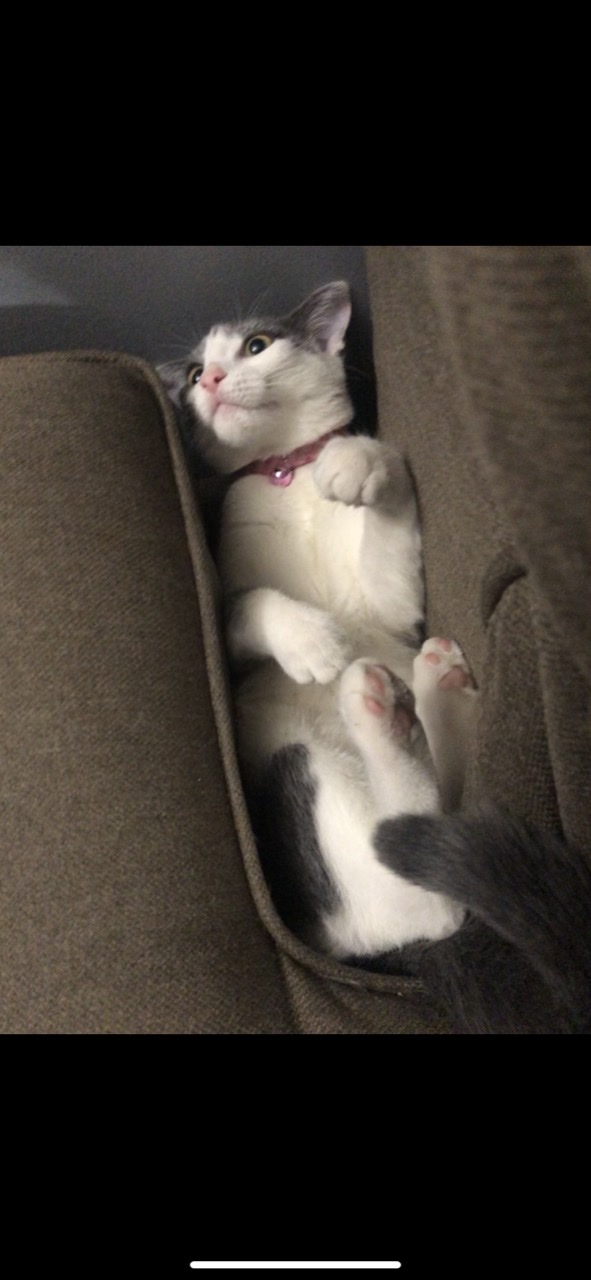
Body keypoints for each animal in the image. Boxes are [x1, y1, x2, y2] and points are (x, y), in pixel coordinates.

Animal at [159, 280, 591, 1034]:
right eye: (189, 374)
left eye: (256, 345)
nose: (207, 381)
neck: (286, 475)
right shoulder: (229, 611)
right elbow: (253, 603)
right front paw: (312, 639)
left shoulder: (391, 603)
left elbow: (385, 526)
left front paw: (357, 461)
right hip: (298, 764)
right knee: (425, 888)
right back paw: (389, 703)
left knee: (435, 860)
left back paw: (420, 693)